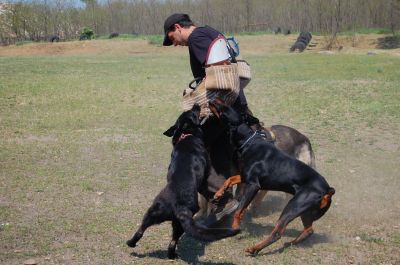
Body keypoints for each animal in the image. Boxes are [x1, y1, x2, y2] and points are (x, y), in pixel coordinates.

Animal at [126, 104, 239, 258]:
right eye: (192, 112)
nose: (196, 105)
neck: (186, 135)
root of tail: (178, 205)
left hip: (154, 212)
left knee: (143, 230)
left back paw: (133, 244)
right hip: (177, 221)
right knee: (172, 240)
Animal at [209, 100, 334, 254]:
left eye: (226, 106)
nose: (213, 99)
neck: (249, 141)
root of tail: (328, 190)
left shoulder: (253, 185)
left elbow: (239, 210)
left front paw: (235, 228)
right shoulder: (245, 177)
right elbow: (230, 179)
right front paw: (218, 194)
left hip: (294, 206)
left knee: (278, 232)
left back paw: (254, 249)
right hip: (306, 211)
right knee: (309, 230)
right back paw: (291, 243)